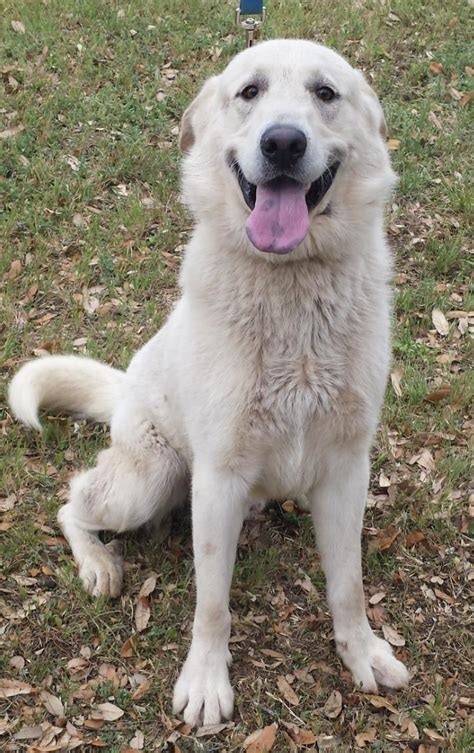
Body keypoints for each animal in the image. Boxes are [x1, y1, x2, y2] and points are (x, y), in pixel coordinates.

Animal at [8, 39, 408, 724]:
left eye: (325, 93)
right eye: (249, 92)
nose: (283, 142)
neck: (290, 286)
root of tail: (124, 388)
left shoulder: (345, 471)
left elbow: (349, 587)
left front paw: (361, 654)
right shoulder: (217, 479)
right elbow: (212, 603)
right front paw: (205, 681)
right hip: (149, 478)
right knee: (71, 501)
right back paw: (98, 562)